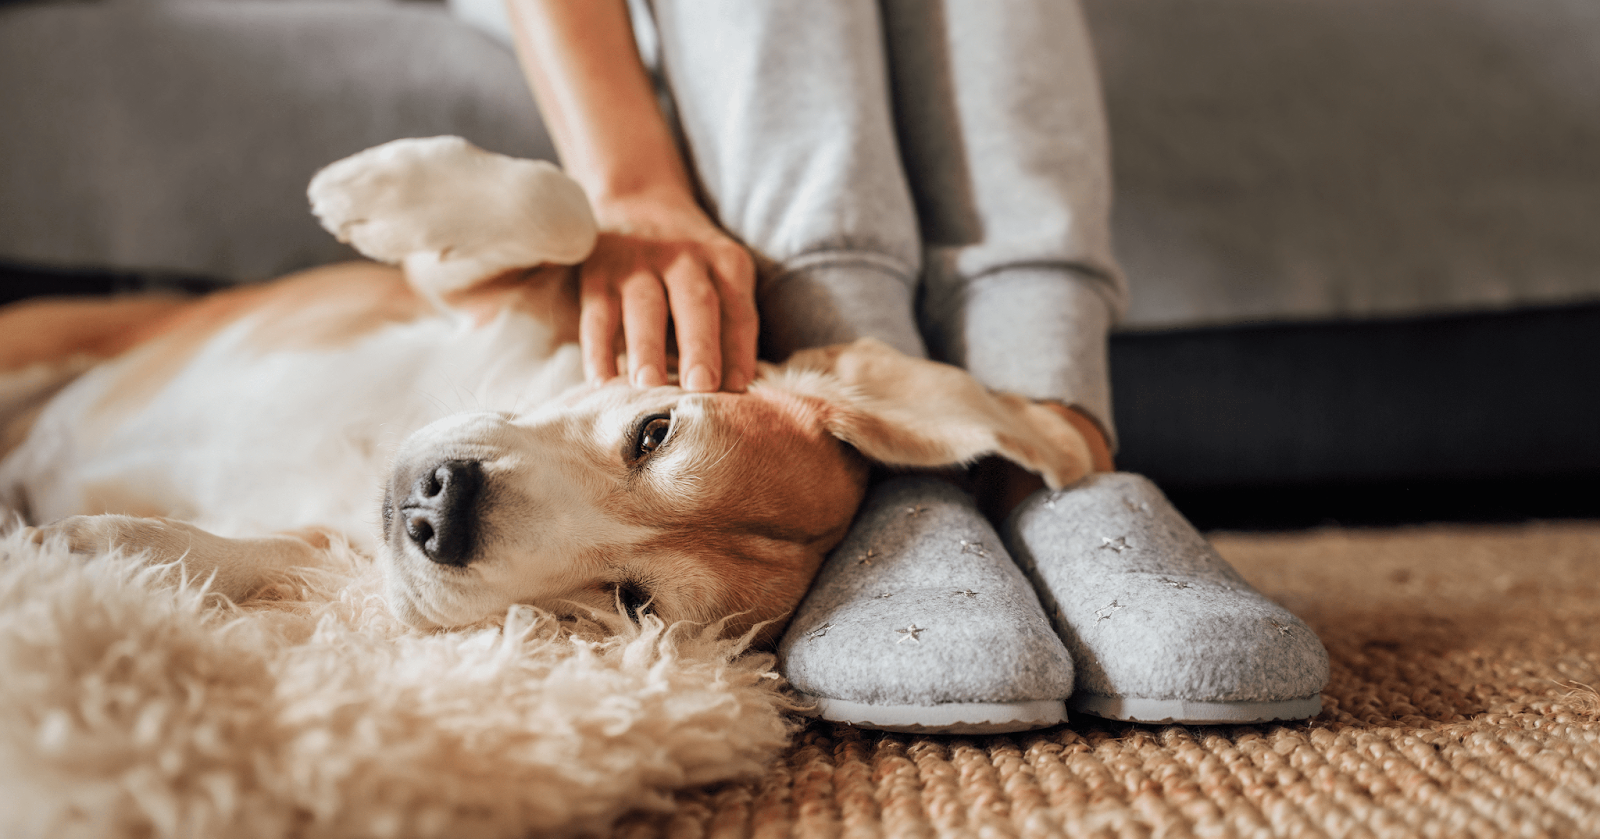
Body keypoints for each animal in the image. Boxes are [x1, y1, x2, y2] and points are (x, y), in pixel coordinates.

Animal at [0, 136, 1088, 637]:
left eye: (632, 600)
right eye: (654, 430)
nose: (442, 508)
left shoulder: (331, 551)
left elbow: (250, 555)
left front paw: (94, 549)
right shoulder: (469, 294)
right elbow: (562, 210)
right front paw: (372, 191)